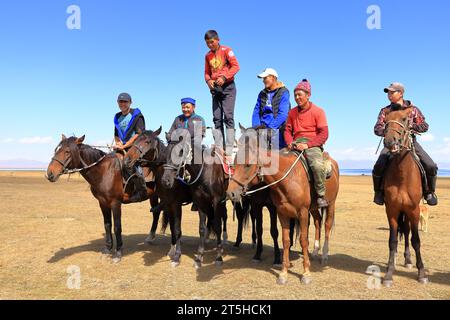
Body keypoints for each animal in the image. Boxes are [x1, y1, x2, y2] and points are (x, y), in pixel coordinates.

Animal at [227, 125, 340, 284]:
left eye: (248, 164)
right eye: (235, 163)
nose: (230, 193)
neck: (289, 177)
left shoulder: (301, 212)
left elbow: (303, 240)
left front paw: (306, 273)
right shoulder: (281, 212)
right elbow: (284, 240)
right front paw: (283, 273)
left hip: (330, 204)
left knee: (327, 225)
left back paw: (324, 255)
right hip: (313, 208)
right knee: (318, 221)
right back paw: (315, 252)